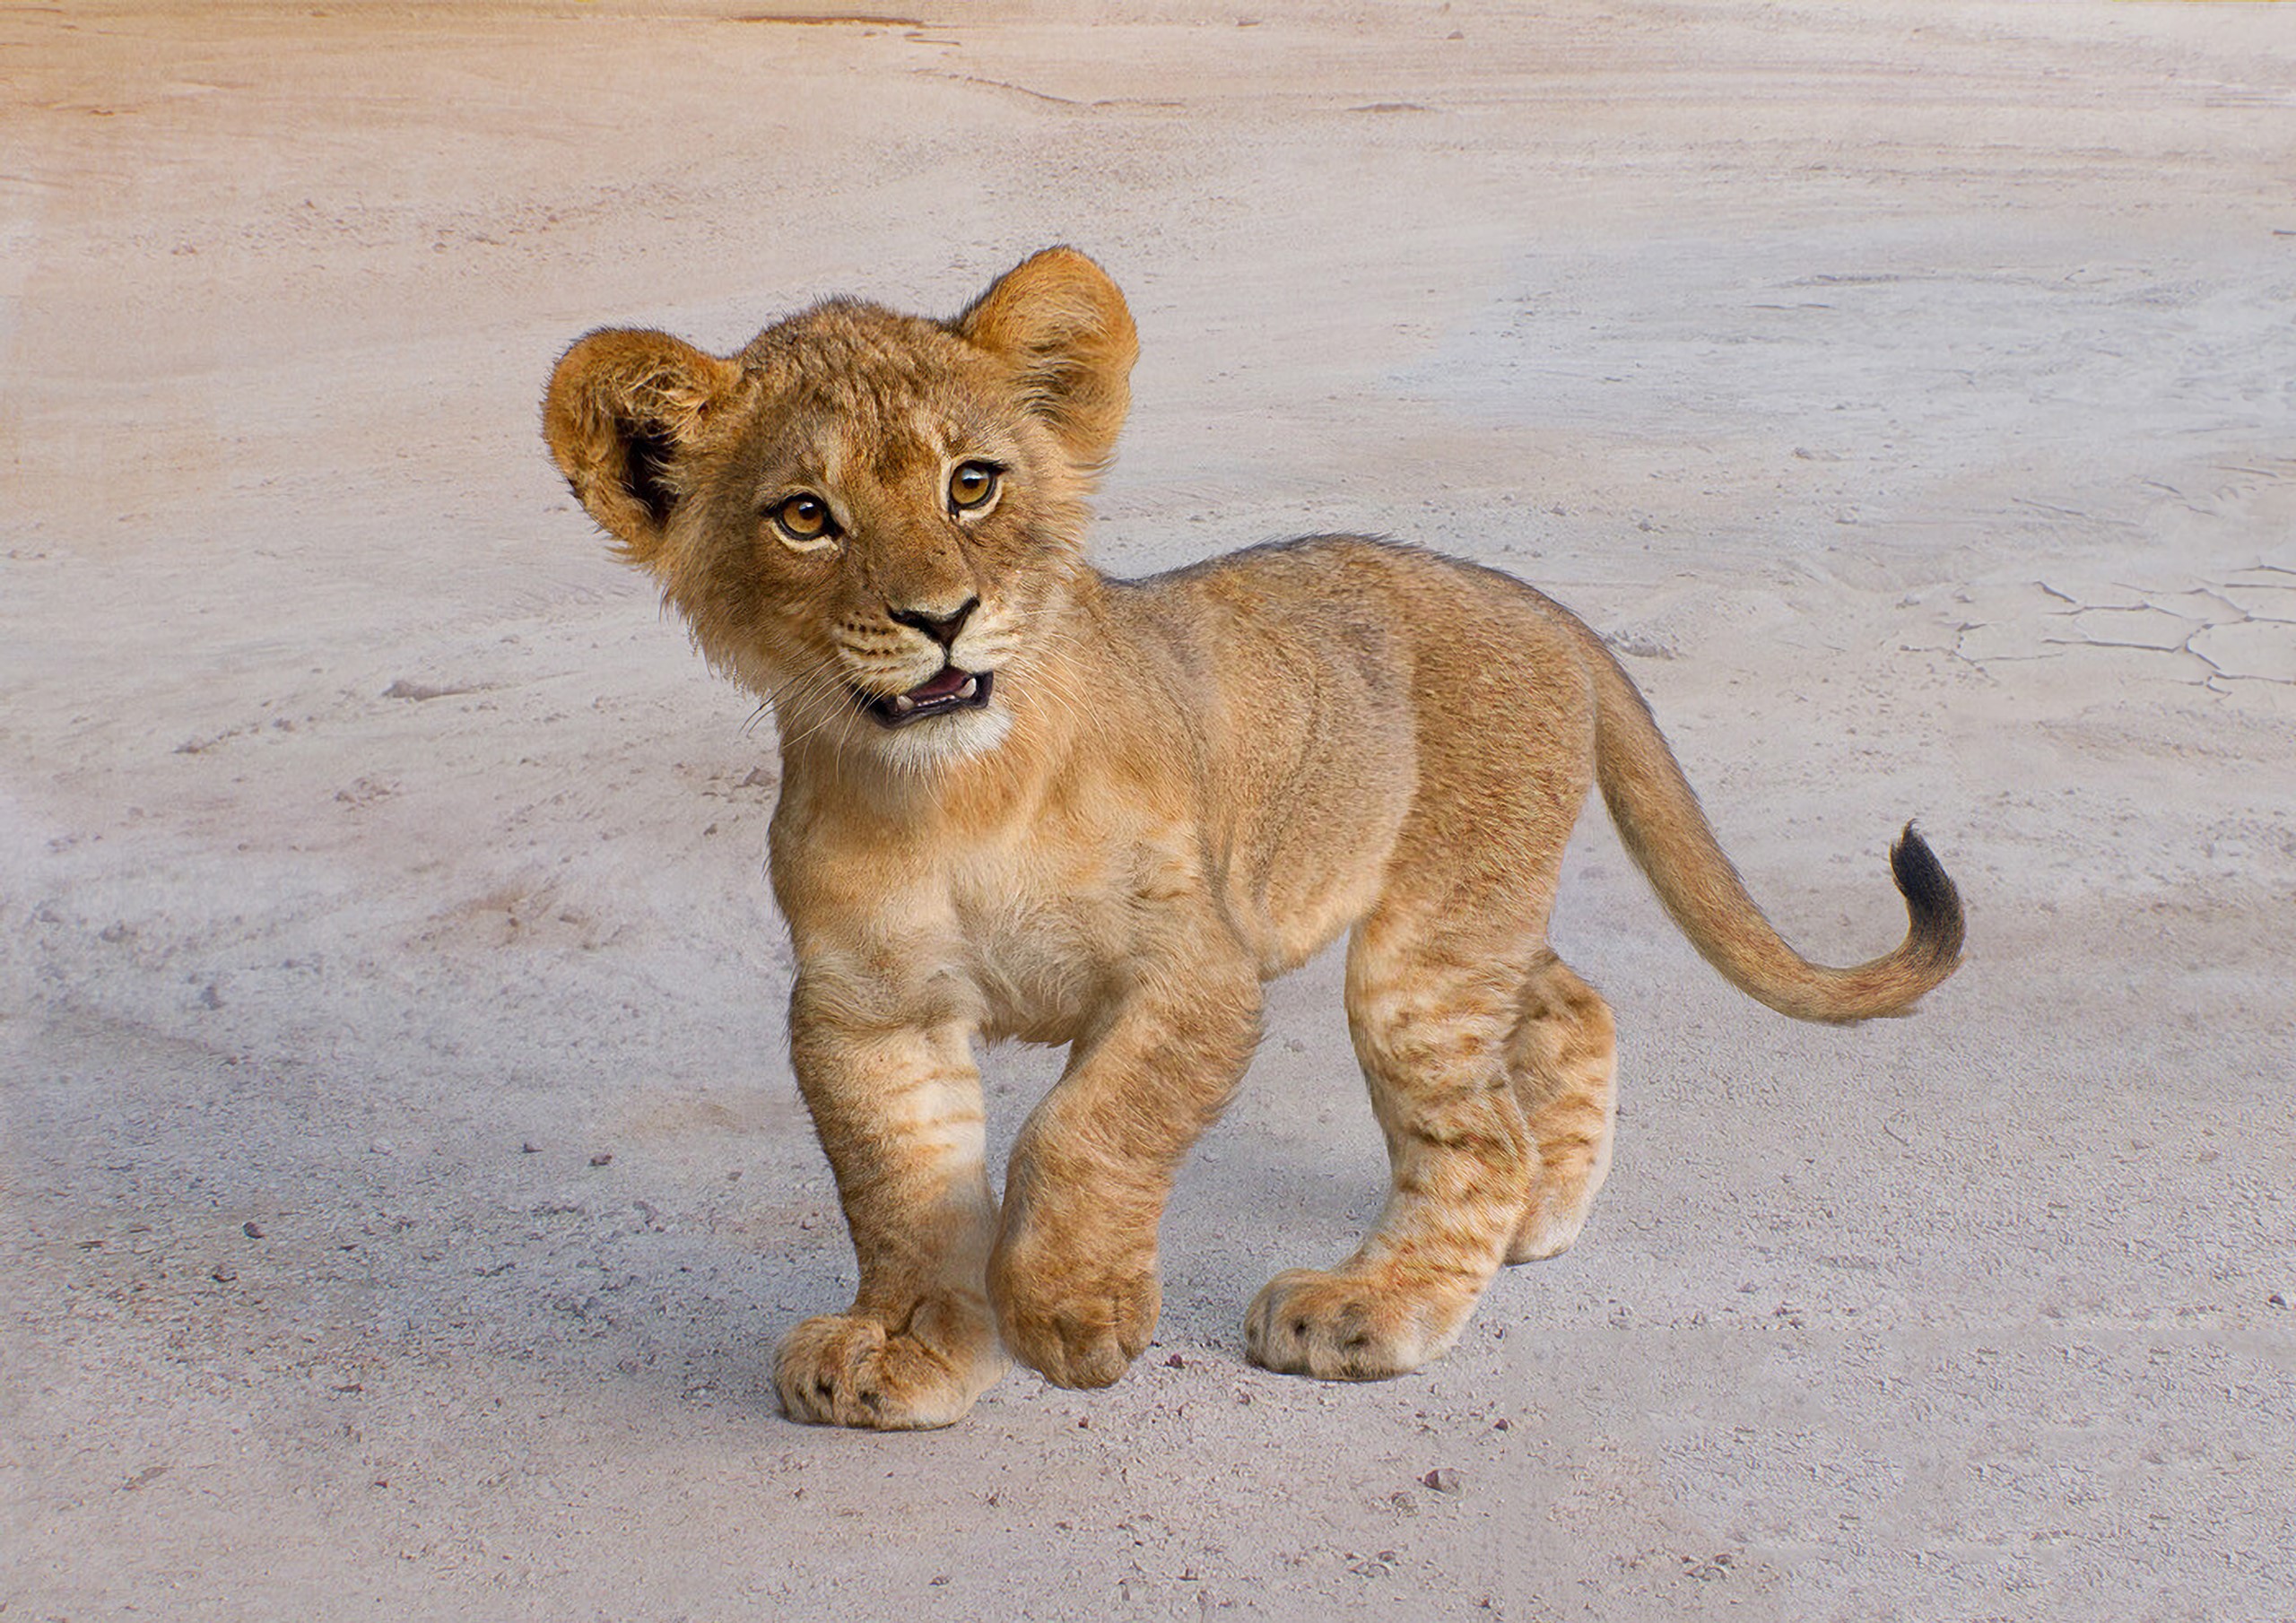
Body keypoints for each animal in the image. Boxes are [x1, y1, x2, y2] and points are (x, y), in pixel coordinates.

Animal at [542, 247, 1962, 1429]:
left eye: (971, 484)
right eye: (805, 516)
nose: (940, 619)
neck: (952, 794)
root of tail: (1533, 602)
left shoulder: (1196, 966)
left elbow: (1085, 1126)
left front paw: (1072, 1314)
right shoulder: (863, 1007)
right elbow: (899, 1189)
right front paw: (909, 1349)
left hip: (1424, 947)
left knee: (1476, 1134)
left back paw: (1372, 1305)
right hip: (1466, 913)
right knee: (1570, 999)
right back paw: (1544, 1213)